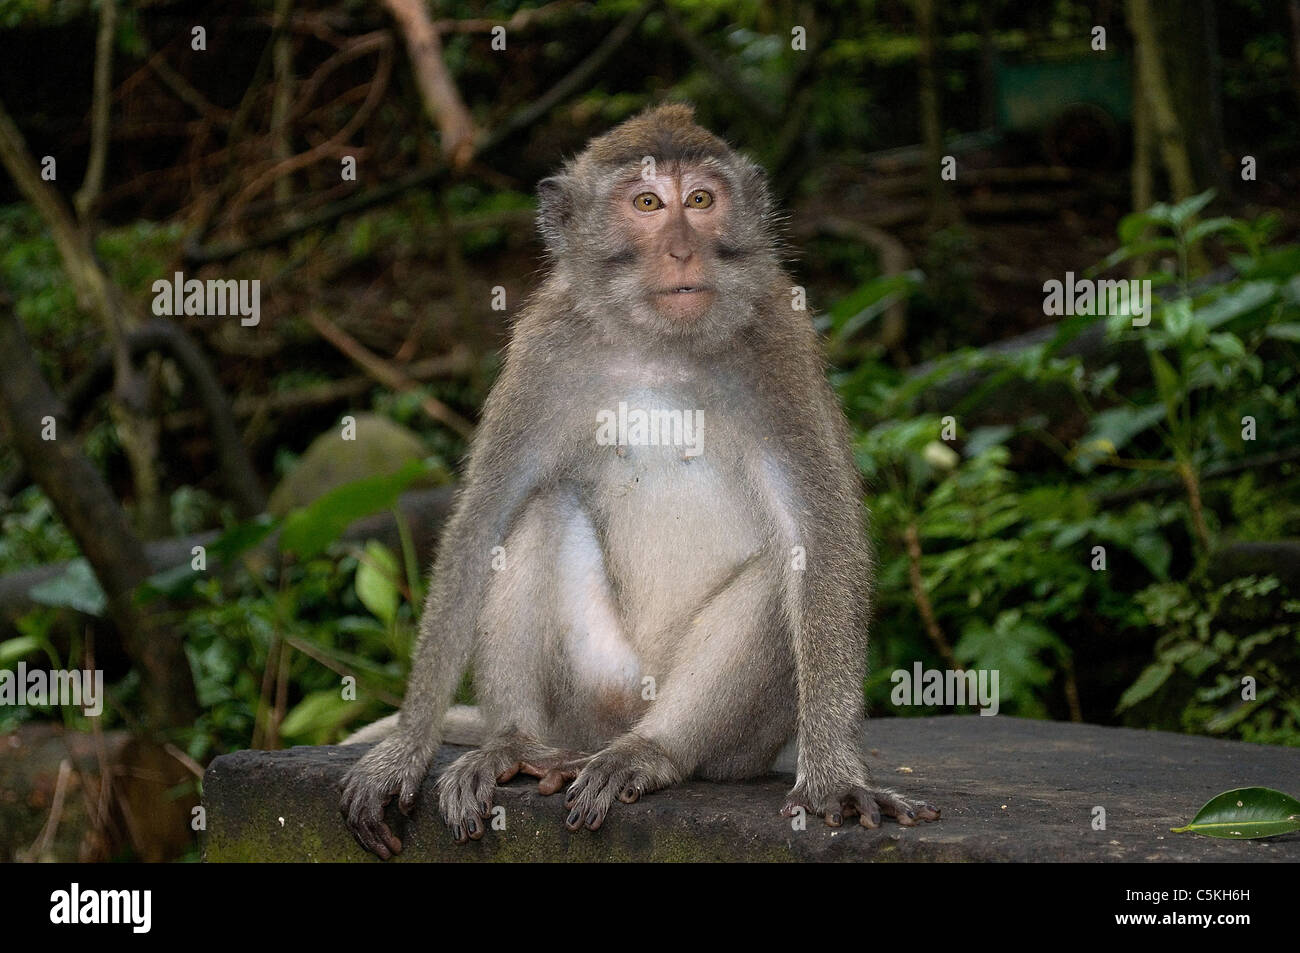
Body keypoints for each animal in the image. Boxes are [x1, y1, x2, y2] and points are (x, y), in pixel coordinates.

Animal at [340, 104, 941, 852]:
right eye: (648, 204)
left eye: (702, 201)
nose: (683, 251)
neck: (657, 344)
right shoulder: (545, 349)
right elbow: (483, 519)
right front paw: (404, 751)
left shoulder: (780, 344)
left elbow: (822, 538)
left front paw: (834, 776)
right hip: (592, 690)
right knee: (537, 507)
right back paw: (511, 744)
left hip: (734, 739)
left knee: (781, 569)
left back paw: (651, 752)